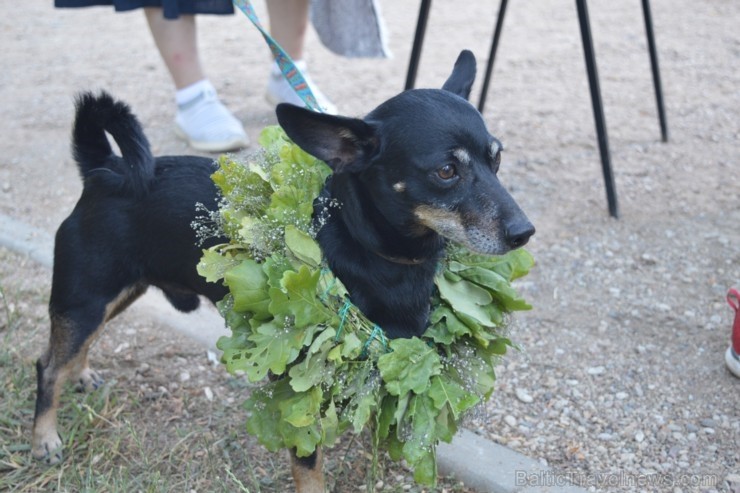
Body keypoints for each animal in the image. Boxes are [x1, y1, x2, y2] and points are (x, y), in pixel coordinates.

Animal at [33, 51, 532, 492]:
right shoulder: (298, 399)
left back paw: (81, 374)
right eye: (446, 170)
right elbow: (309, 468)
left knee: (70, 350)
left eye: (497, 159)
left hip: (112, 297)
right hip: (85, 298)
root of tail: (104, 169)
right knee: (47, 366)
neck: (365, 245)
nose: (524, 232)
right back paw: (46, 437)